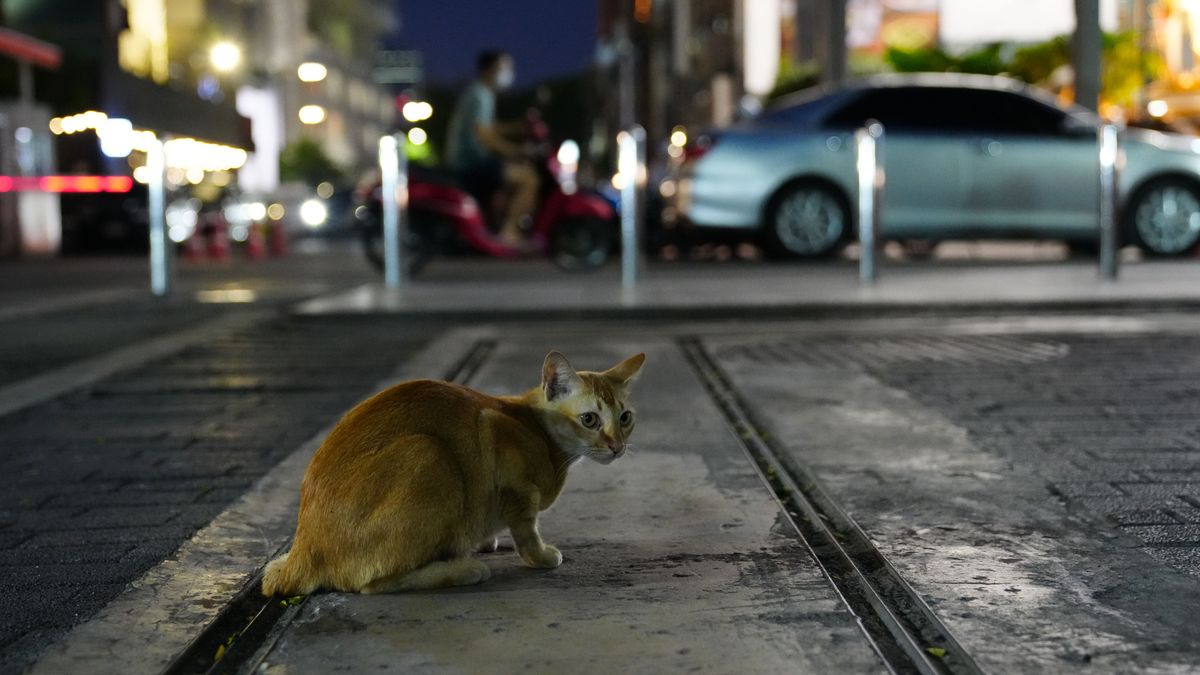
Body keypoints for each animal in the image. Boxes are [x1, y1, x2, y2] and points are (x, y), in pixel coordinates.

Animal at [258, 348, 643, 590]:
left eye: (625, 418)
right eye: (590, 420)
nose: (617, 446)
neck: (537, 427)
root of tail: (303, 545)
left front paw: (486, 539)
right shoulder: (502, 451)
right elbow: (526, 526)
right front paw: (538, 555)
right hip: (429, 452)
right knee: (369, 581)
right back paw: (461, 570)